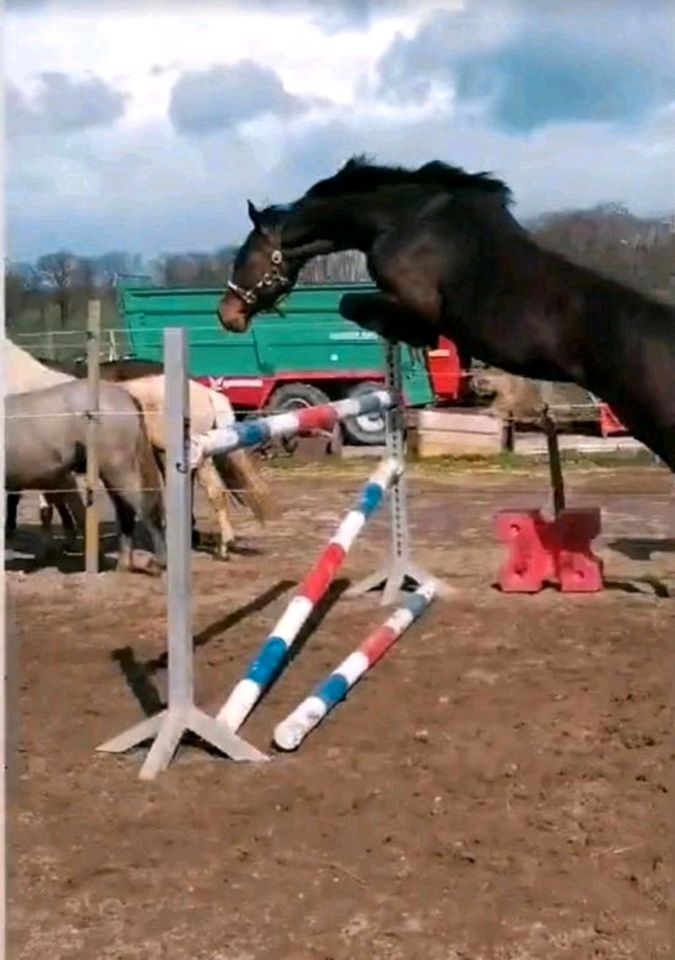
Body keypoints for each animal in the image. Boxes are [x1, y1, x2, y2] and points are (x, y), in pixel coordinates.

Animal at [7, 376, 168, 572]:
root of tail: (127, 397)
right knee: (125, 511)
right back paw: (123, 563)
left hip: (121, 470)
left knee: (146, 507)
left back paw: (160, 562)